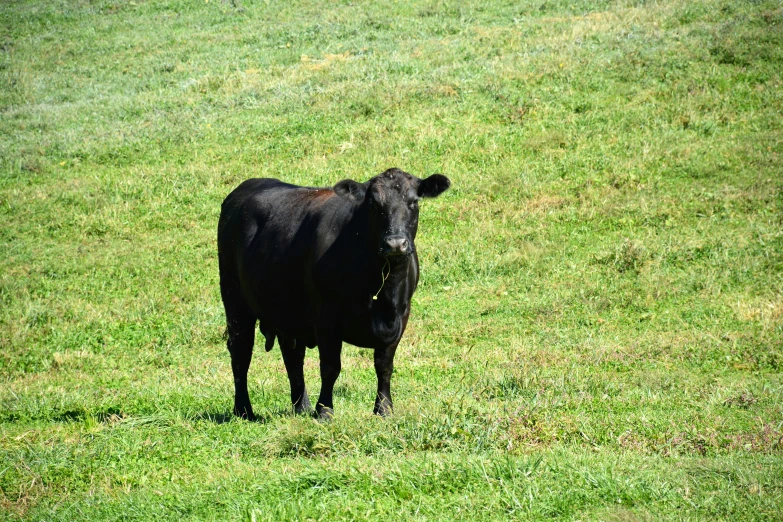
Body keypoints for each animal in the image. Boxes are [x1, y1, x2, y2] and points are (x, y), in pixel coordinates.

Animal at [217, 167, 450, 418]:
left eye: (413, 202)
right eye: (374, 204)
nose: (395, 244)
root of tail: (246, 187)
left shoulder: (400, 315)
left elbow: (384, 365)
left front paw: (384, 408)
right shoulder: (325, 317)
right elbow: (330, 367)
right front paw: (324, 411)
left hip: (288, 311)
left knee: (292, 355)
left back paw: (301, 406)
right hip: (235, 301)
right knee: (241, 352)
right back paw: (243, 409)